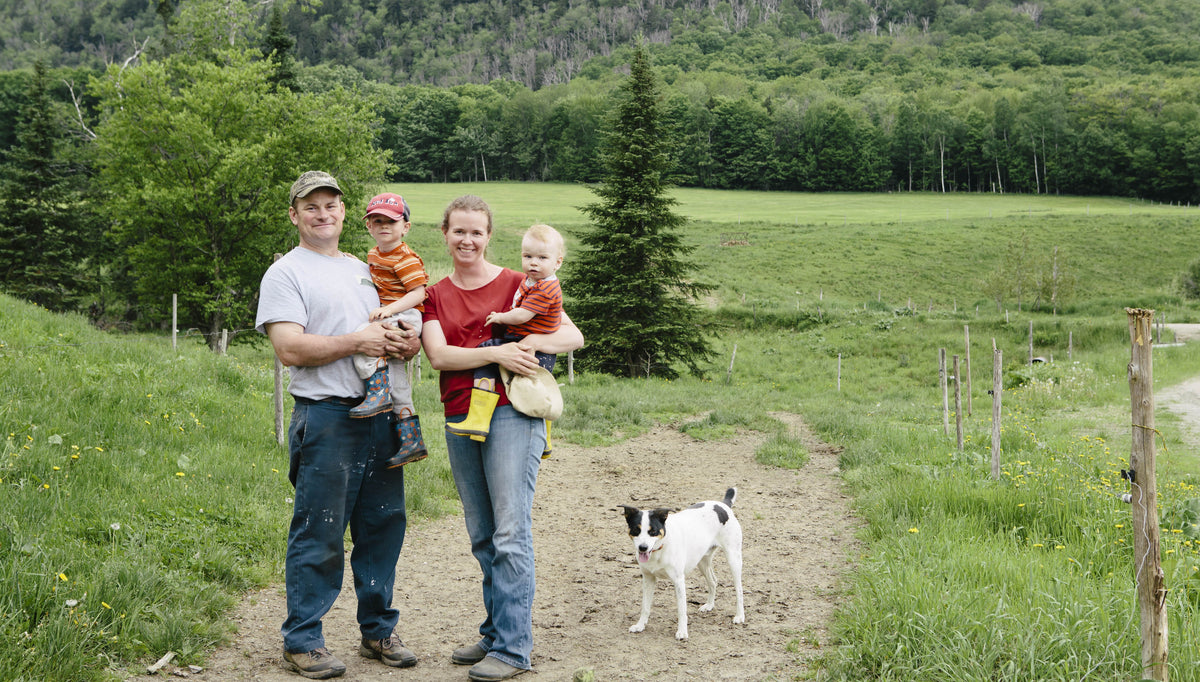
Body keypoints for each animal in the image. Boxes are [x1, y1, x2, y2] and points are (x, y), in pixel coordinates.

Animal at [624, 485, 744, 638]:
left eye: (653, 531)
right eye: (636, 530)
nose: (643, 547)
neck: (660, 548)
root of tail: (723, 504)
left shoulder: (678, 581)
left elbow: (682, 610)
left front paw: (682, 631)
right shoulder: (648, 578)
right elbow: (645, 606)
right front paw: (640, 625)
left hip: (733, 558)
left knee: (739, 589)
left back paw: (740, 616)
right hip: (702, 561)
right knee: (713, 581)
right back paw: (709, 605)